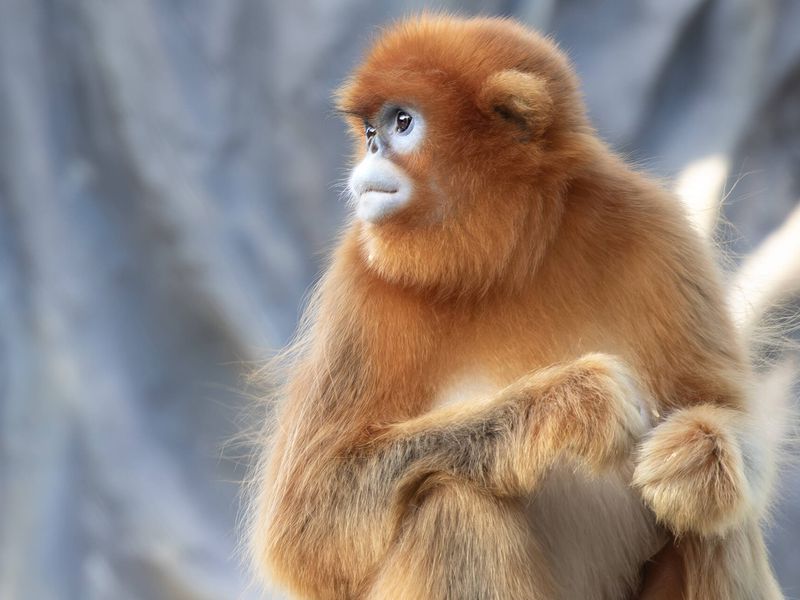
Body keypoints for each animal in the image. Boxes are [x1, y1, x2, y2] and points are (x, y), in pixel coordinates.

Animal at [250, 15, 780, 600]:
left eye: (402, 122)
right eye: (370, 132)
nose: (371, 154)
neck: (508, 257)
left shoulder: (653, 223)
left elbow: (730, 415)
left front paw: (696, 457)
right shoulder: (361, 276)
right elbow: (307, 521)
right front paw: (574, 402)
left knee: (713, 522)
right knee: (452, 502)